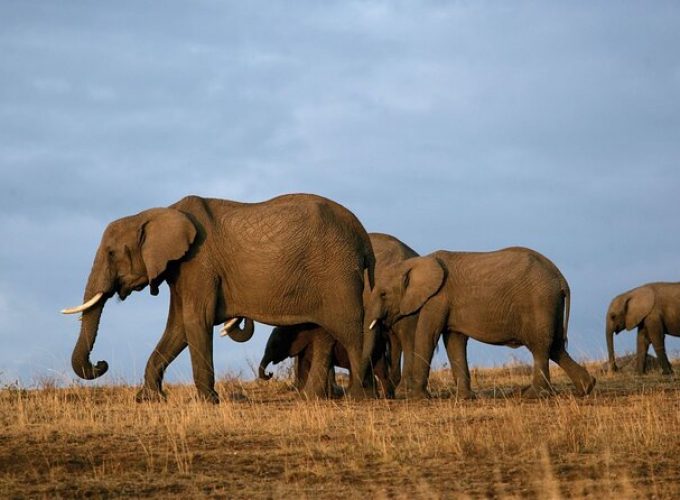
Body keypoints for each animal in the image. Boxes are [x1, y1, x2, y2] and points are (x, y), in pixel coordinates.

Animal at [60, 193, 374, 400]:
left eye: (112, 253)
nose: (101, 364)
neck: (158, 213)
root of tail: (363, 236)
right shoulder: (181, 269)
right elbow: (177, 327)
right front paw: (148, 398)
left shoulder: (198, 262)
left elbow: (195, 320)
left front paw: (206, 401)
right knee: (323, 334)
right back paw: (313, 398)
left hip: (337, 273)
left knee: (349, 331)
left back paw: (358, 396)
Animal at [366, 246, 596, 398]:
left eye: (384, 294)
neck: (416, 262)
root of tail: (561, 279)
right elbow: (454, 341)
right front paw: (464, 398)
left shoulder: (438, 298)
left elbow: (427, 336)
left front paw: (416, 398)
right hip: (550, 305)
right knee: (556, 347)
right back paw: (586, 387)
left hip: (540, 301)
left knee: (540, 346)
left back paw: (530, 395)